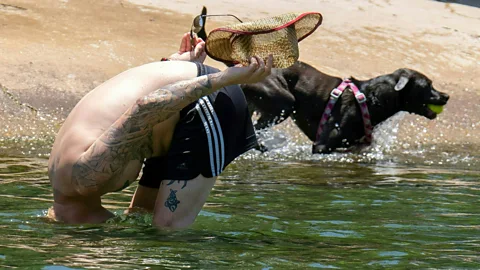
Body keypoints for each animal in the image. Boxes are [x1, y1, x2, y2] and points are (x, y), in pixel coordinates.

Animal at [195, 7, 450, 154]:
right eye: (427, 86)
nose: (446, 96)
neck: (371, 97)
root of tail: (240, 63)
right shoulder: (322, 146)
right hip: (282, 102)